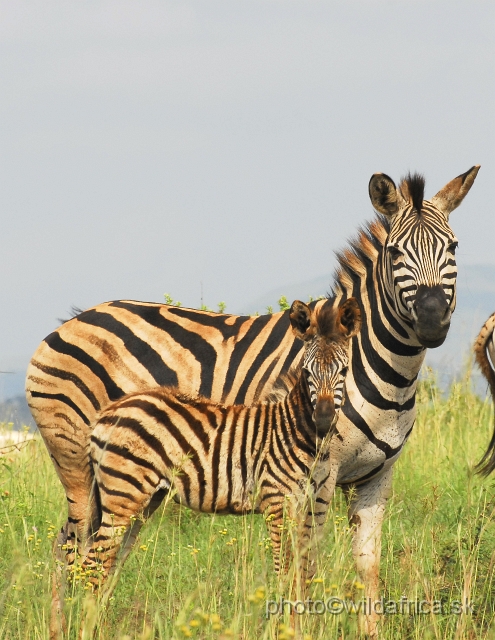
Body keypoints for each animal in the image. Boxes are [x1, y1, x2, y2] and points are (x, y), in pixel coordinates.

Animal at [76, 298, 360, 596]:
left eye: (344, 371)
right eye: (307, 372)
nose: (323, 421)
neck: (298, 431)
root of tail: (107, 413)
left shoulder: (307, 504)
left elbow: (302, 572)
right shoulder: (277, 501)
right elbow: (285, 571)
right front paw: (282, 608)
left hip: (141, 500)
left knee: (106, 565)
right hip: (122, 493)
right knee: (93, 568)